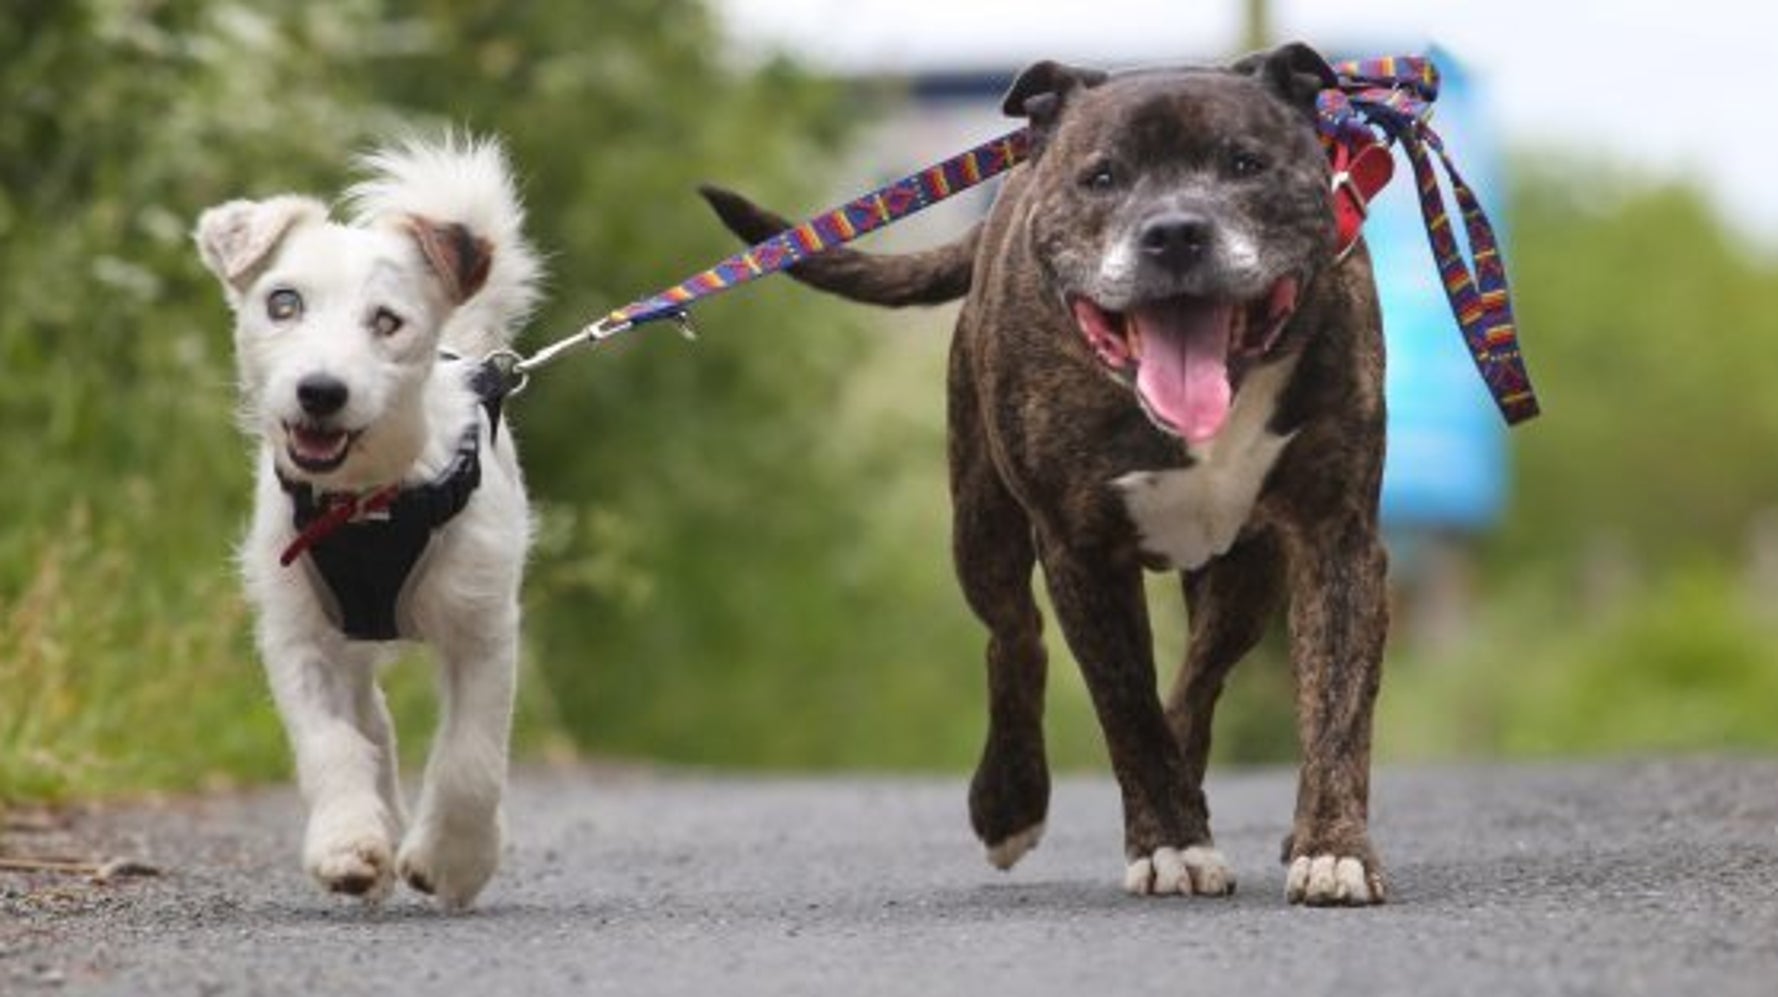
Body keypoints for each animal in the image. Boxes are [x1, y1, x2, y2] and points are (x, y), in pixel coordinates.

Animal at [196, 137, 540, 909]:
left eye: (387, 320)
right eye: (283, 302)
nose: (321, 391)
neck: (366, 503)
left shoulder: (483, 628)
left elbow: (471, 758)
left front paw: (454, 859)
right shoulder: (298, 636)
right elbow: (331, 744)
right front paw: (349, 843)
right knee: (372, 727)